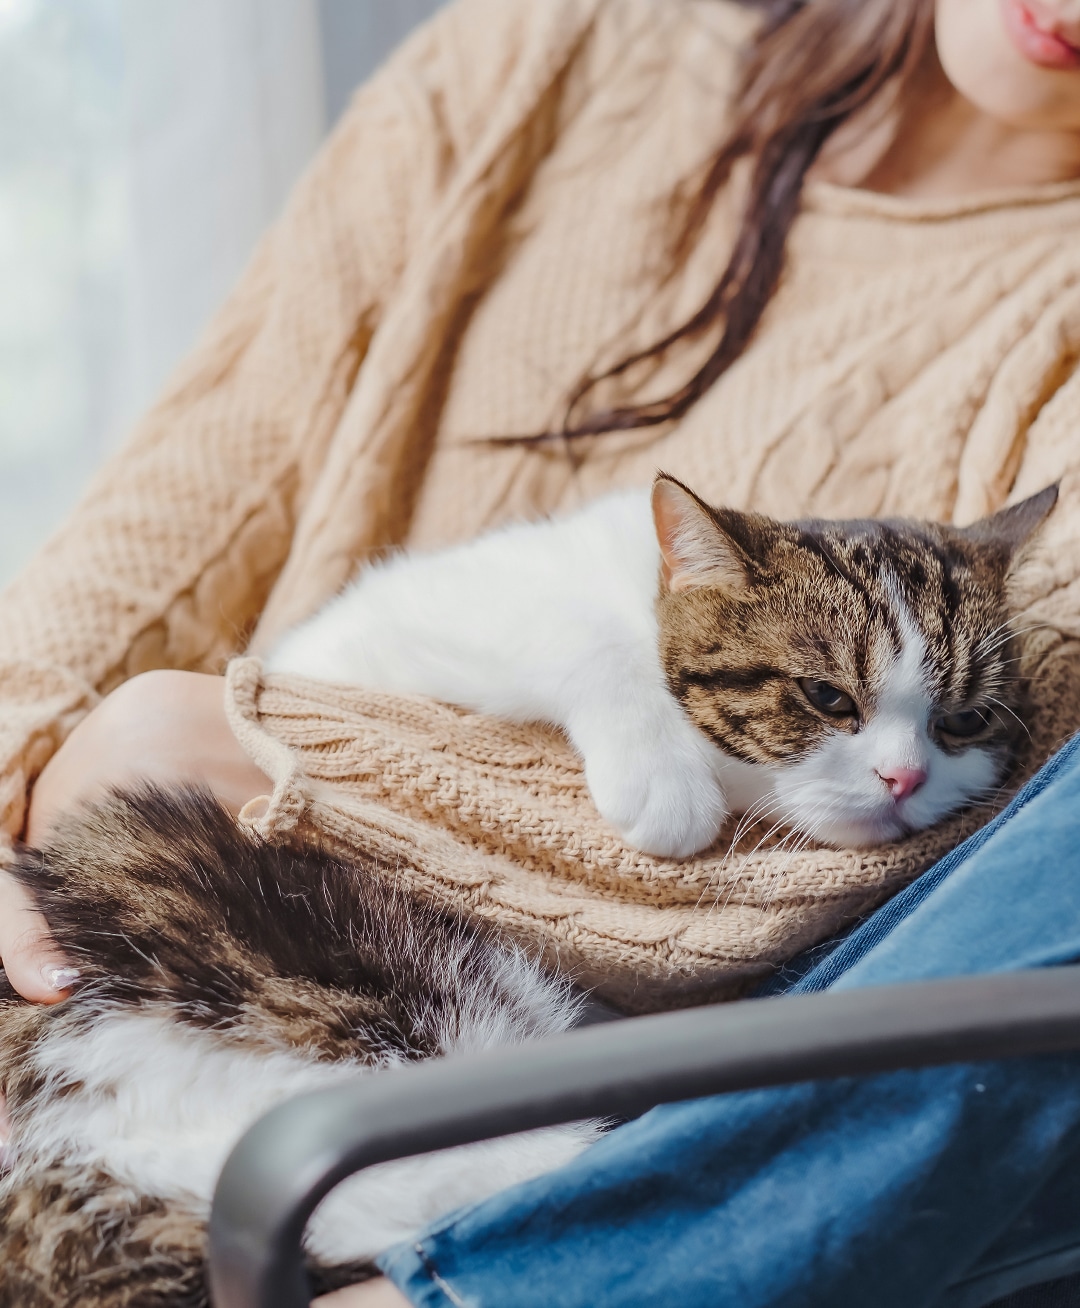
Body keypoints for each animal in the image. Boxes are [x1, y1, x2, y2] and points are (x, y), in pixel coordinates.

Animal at [265, 476, 1056, 852]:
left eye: (966, 721)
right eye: (826, 696)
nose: (907, 778)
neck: (634, 586)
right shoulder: (409, 610)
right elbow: (582, 632)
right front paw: (663, 777)